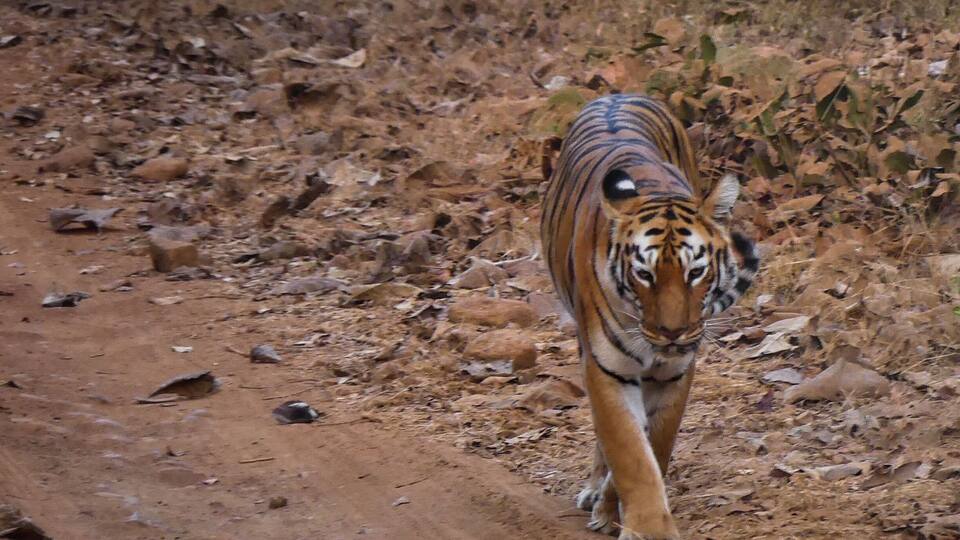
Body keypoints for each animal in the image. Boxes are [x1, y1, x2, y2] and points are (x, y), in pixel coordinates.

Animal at [539, 93, 759, 539]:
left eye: (696, 272)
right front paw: (646, 527)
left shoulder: (674, 374)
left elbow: (655, 445)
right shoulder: (607, 369)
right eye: (645, 274)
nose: (673, 332)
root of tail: (617, 95)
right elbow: (630, 453)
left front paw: (614, 510)